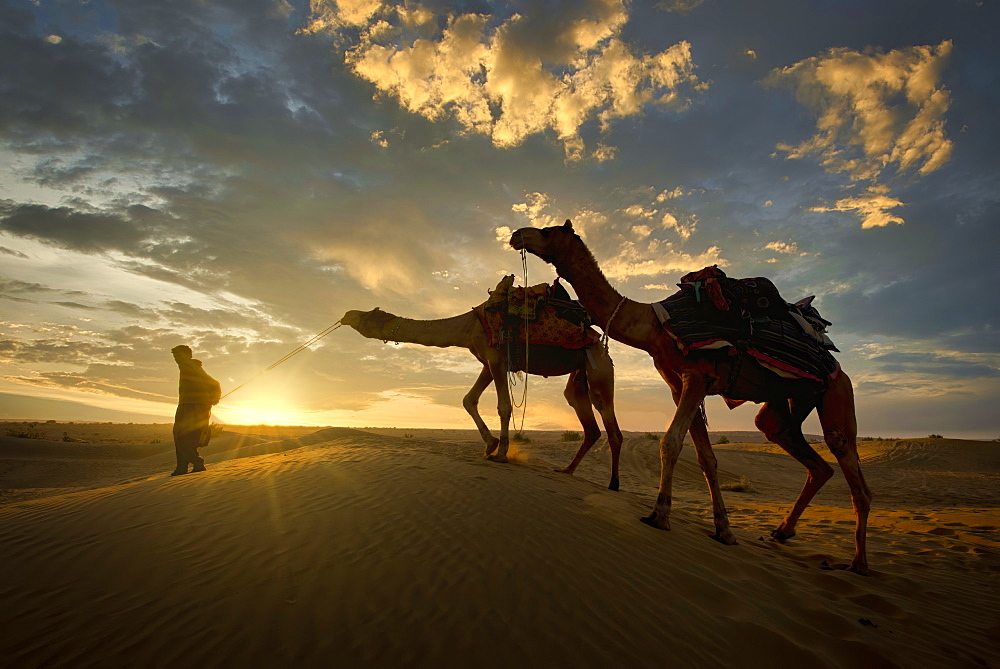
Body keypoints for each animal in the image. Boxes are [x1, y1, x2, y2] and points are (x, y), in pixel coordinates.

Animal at [344, 306, 624, 488]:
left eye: (368, 315)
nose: (346, 315)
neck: (468, 325)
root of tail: (602, 345)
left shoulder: (497, 358)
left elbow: (504, 406)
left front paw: (501, 453)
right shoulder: (487, 362)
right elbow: (468, 399)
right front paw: (489, 445)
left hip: (599, 367)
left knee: (610, 424)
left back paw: (613, 483)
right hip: (580, 375)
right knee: (586, 420)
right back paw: (567, 470)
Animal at [512, 220, 872, 576]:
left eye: (547, 231)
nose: (517, 235)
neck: (653, 325)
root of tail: (834, 361)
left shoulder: (697, 376)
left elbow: (670, 442)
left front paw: (659, 514)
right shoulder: (678, 383)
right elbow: (706, 459)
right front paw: (724, 530)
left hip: (835, 389)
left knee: (846, 458)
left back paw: (859, 563)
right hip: (789, 400)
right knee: (796, 447)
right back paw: (783, 531)